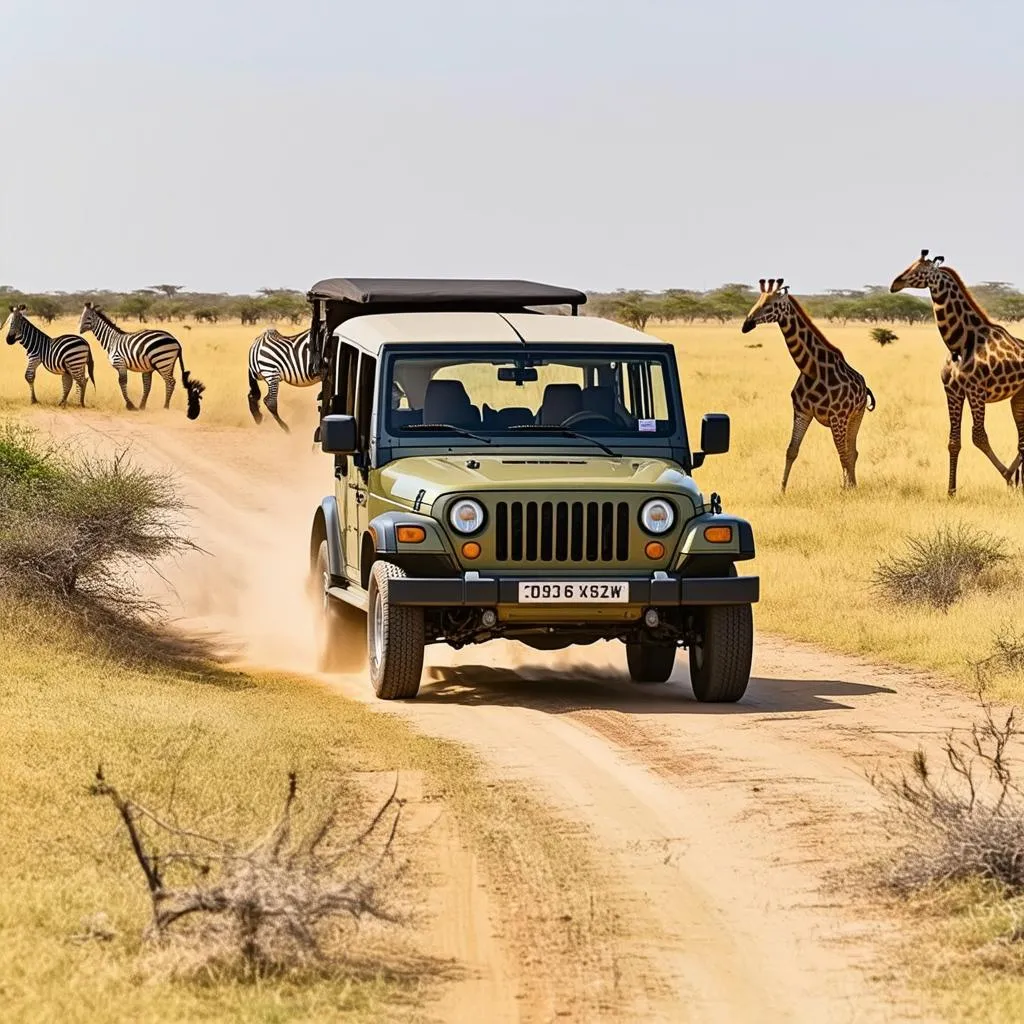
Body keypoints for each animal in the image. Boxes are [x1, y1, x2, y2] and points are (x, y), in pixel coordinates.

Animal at [741, 278, 876, 489]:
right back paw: (852, 485)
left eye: (769, 305)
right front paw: (782, 490)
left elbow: (842, 454)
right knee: (851, 451)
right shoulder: (801, 411)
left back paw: (851, 486)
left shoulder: (837, 416)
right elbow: (791, 450)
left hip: (856, 416)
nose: (746, 325)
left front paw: (845, 489)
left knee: (851, 452)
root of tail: (865, 386)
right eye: (757, 301)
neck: (811, 369)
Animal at [888, 249, 1024, 493]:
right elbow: (954, 441)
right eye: (911, 265)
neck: (960, 343)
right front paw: (950, 490)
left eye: (921, 270)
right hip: (1018, 396)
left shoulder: (976, 390)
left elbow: (979, 437)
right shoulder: (952, 391)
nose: (895, 284)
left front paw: (1008, 476)